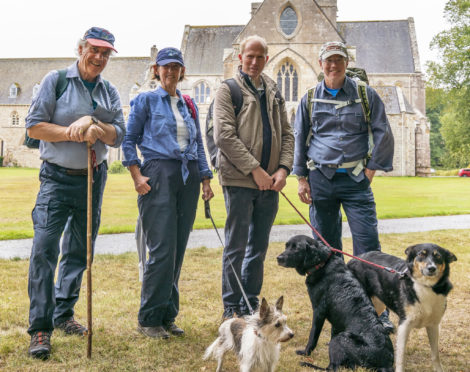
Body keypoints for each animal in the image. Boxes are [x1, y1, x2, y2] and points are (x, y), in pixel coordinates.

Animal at [278, 237, 394, 370]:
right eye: (286, 246)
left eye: (296, 248)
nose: (278, 258)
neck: (322, 264)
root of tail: (386, 363)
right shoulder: (335, 320)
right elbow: (332, 332)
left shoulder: (318, 311)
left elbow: (313, 336)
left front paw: (305, 353)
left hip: (342, 338)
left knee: (331, 368)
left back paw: (307, 364)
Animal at [346, 244, 458, 372]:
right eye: (421, 254)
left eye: (438, 256)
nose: (432, 268)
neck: (426, 286)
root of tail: (354, 259)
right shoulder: (404, 324)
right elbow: (401, 356)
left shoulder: (433, 325)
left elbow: (435, 354)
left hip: (378, 304)